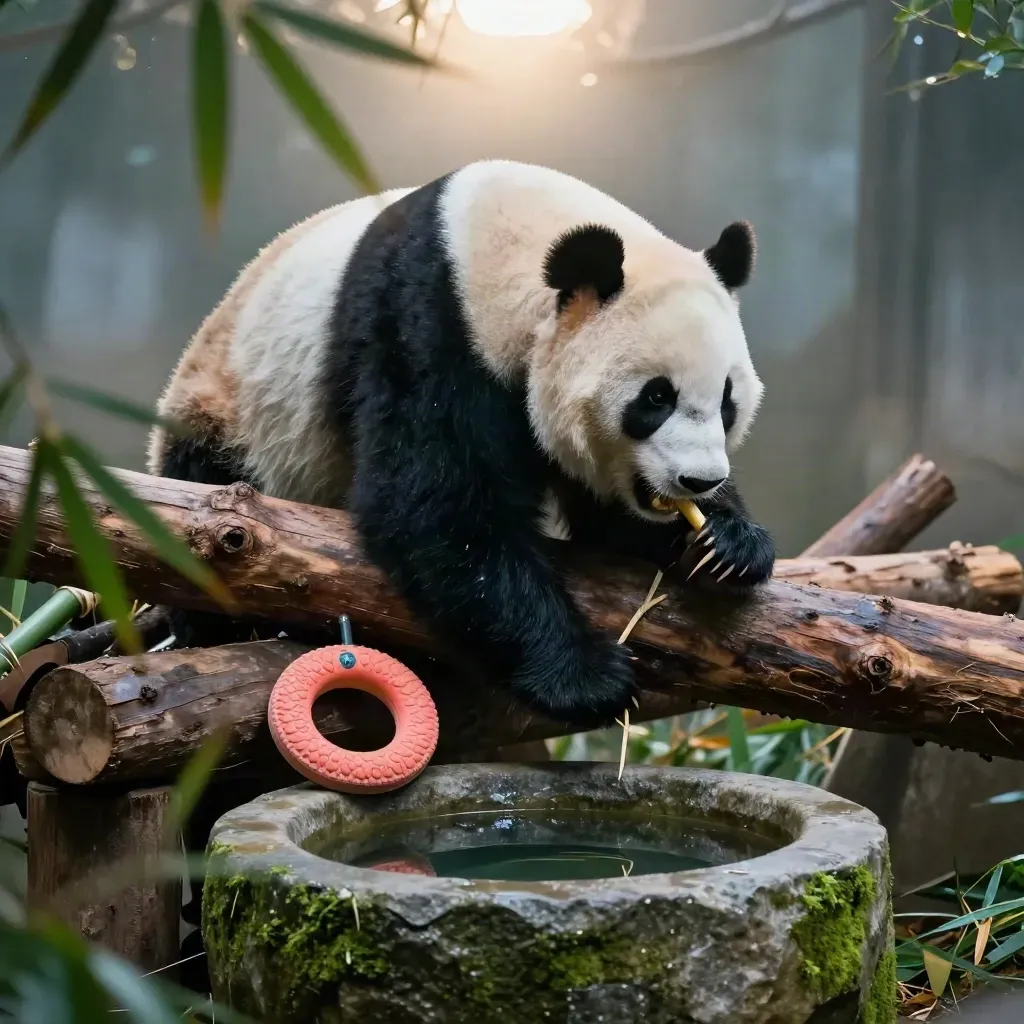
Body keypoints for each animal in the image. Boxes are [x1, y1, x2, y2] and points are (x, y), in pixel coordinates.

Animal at [147, 160, 775, 729]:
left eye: (726, 400)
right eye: (656, 398)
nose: (699, 480)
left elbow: (609, 525)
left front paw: (726, 542)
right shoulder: (423, 325)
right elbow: (438, 508)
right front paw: (588, 677)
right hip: (227, 415)